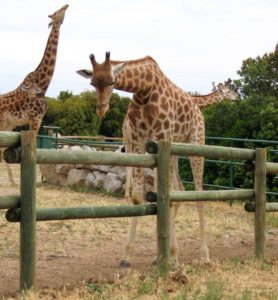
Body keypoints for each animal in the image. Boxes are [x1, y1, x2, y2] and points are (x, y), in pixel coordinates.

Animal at [0, 3, 68, 184]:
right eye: (57, 12)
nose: (66, 5)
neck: (43, 85)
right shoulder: (34, 118)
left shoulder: (39, 119)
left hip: (8, 124)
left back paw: (12, 181)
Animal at [77, 52, 237, 266]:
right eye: (93, 82)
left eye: (112, 81)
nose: (101, 109)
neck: (144, 90)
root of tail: (198, 111)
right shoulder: (140, 142)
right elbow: (140, 197)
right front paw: (128, 254)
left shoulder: (163, 138)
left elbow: (167, 197)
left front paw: (173, 254)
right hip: (170, 149)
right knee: (180, 190)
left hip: (196, 142)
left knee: (198, 192)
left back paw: (204, 255)